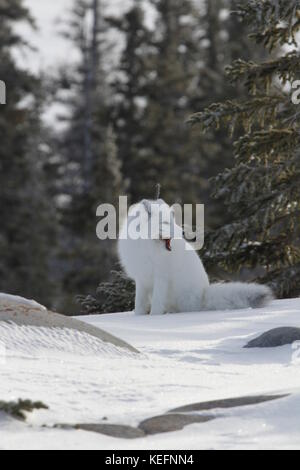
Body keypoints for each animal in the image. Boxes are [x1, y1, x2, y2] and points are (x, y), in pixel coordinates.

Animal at [118, 199, 274, 316]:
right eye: (166, 223)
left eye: (174, 221)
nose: (183, 232)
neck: (146, 246)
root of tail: (204, 295)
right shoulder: (141, 278)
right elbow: (139, 303)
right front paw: (138, 317)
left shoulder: (161, 278)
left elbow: (156, 303)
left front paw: (153, 318)